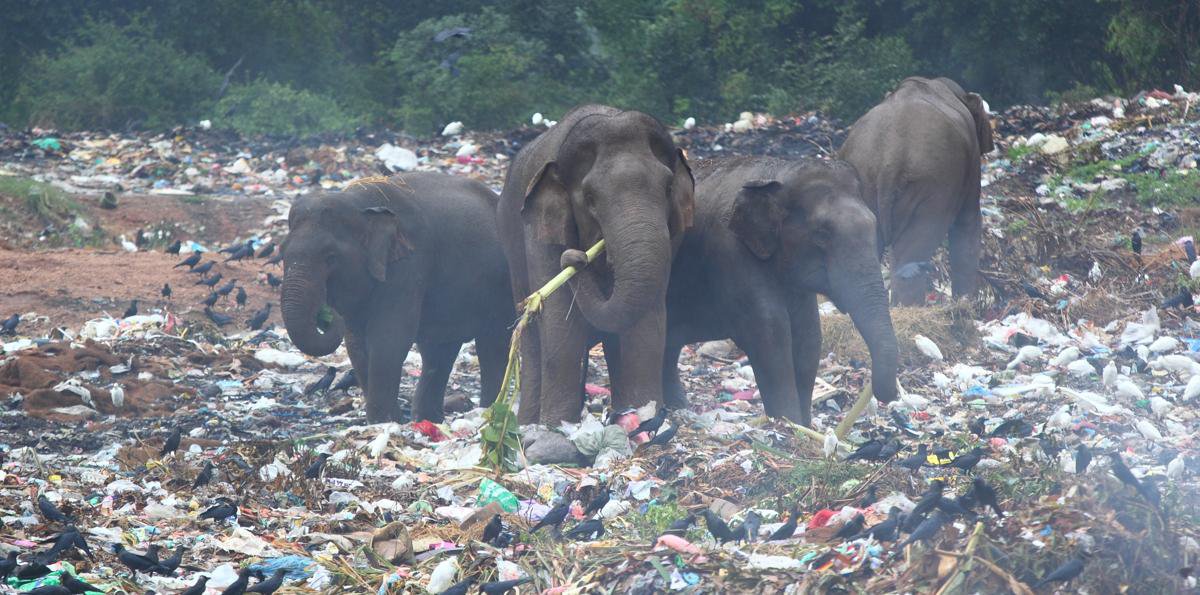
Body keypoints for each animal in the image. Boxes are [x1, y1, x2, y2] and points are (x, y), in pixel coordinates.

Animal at [282, 171, 516, 422]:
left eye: (330, 256)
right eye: (282, 253)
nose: (327, 312)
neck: (359, 202)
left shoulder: (411, 264)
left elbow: (389, 336)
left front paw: (386, 421)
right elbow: (356, 342)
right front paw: (389, 420)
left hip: (505, 286)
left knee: (493, 346)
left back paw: (489, 412)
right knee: (439, 350)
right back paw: (427, 420)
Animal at [496, 104, 700, 424]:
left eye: (668, 188)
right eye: (590, 198)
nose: (575, 257)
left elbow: (648, 321)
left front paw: (647, 416)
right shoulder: (539, 234)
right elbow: (561, 321)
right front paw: (556, 426)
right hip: (512, 246)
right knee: (530, 338)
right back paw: (524, 422)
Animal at [662, 157, 897, 427]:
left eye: (873, 225)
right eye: (821, 234)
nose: (886, 396)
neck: (776, 175)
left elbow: (808, 335)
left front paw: (803, 426)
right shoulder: (730, 252)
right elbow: (770, 333)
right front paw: (788, 423)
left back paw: (675, 408)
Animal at [835, 74, 993, 304]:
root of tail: (889, 161)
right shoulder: (971, 160)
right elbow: (968, 220)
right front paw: (965, 303)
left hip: (864, 186)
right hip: (932, 189)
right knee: (913, 253)